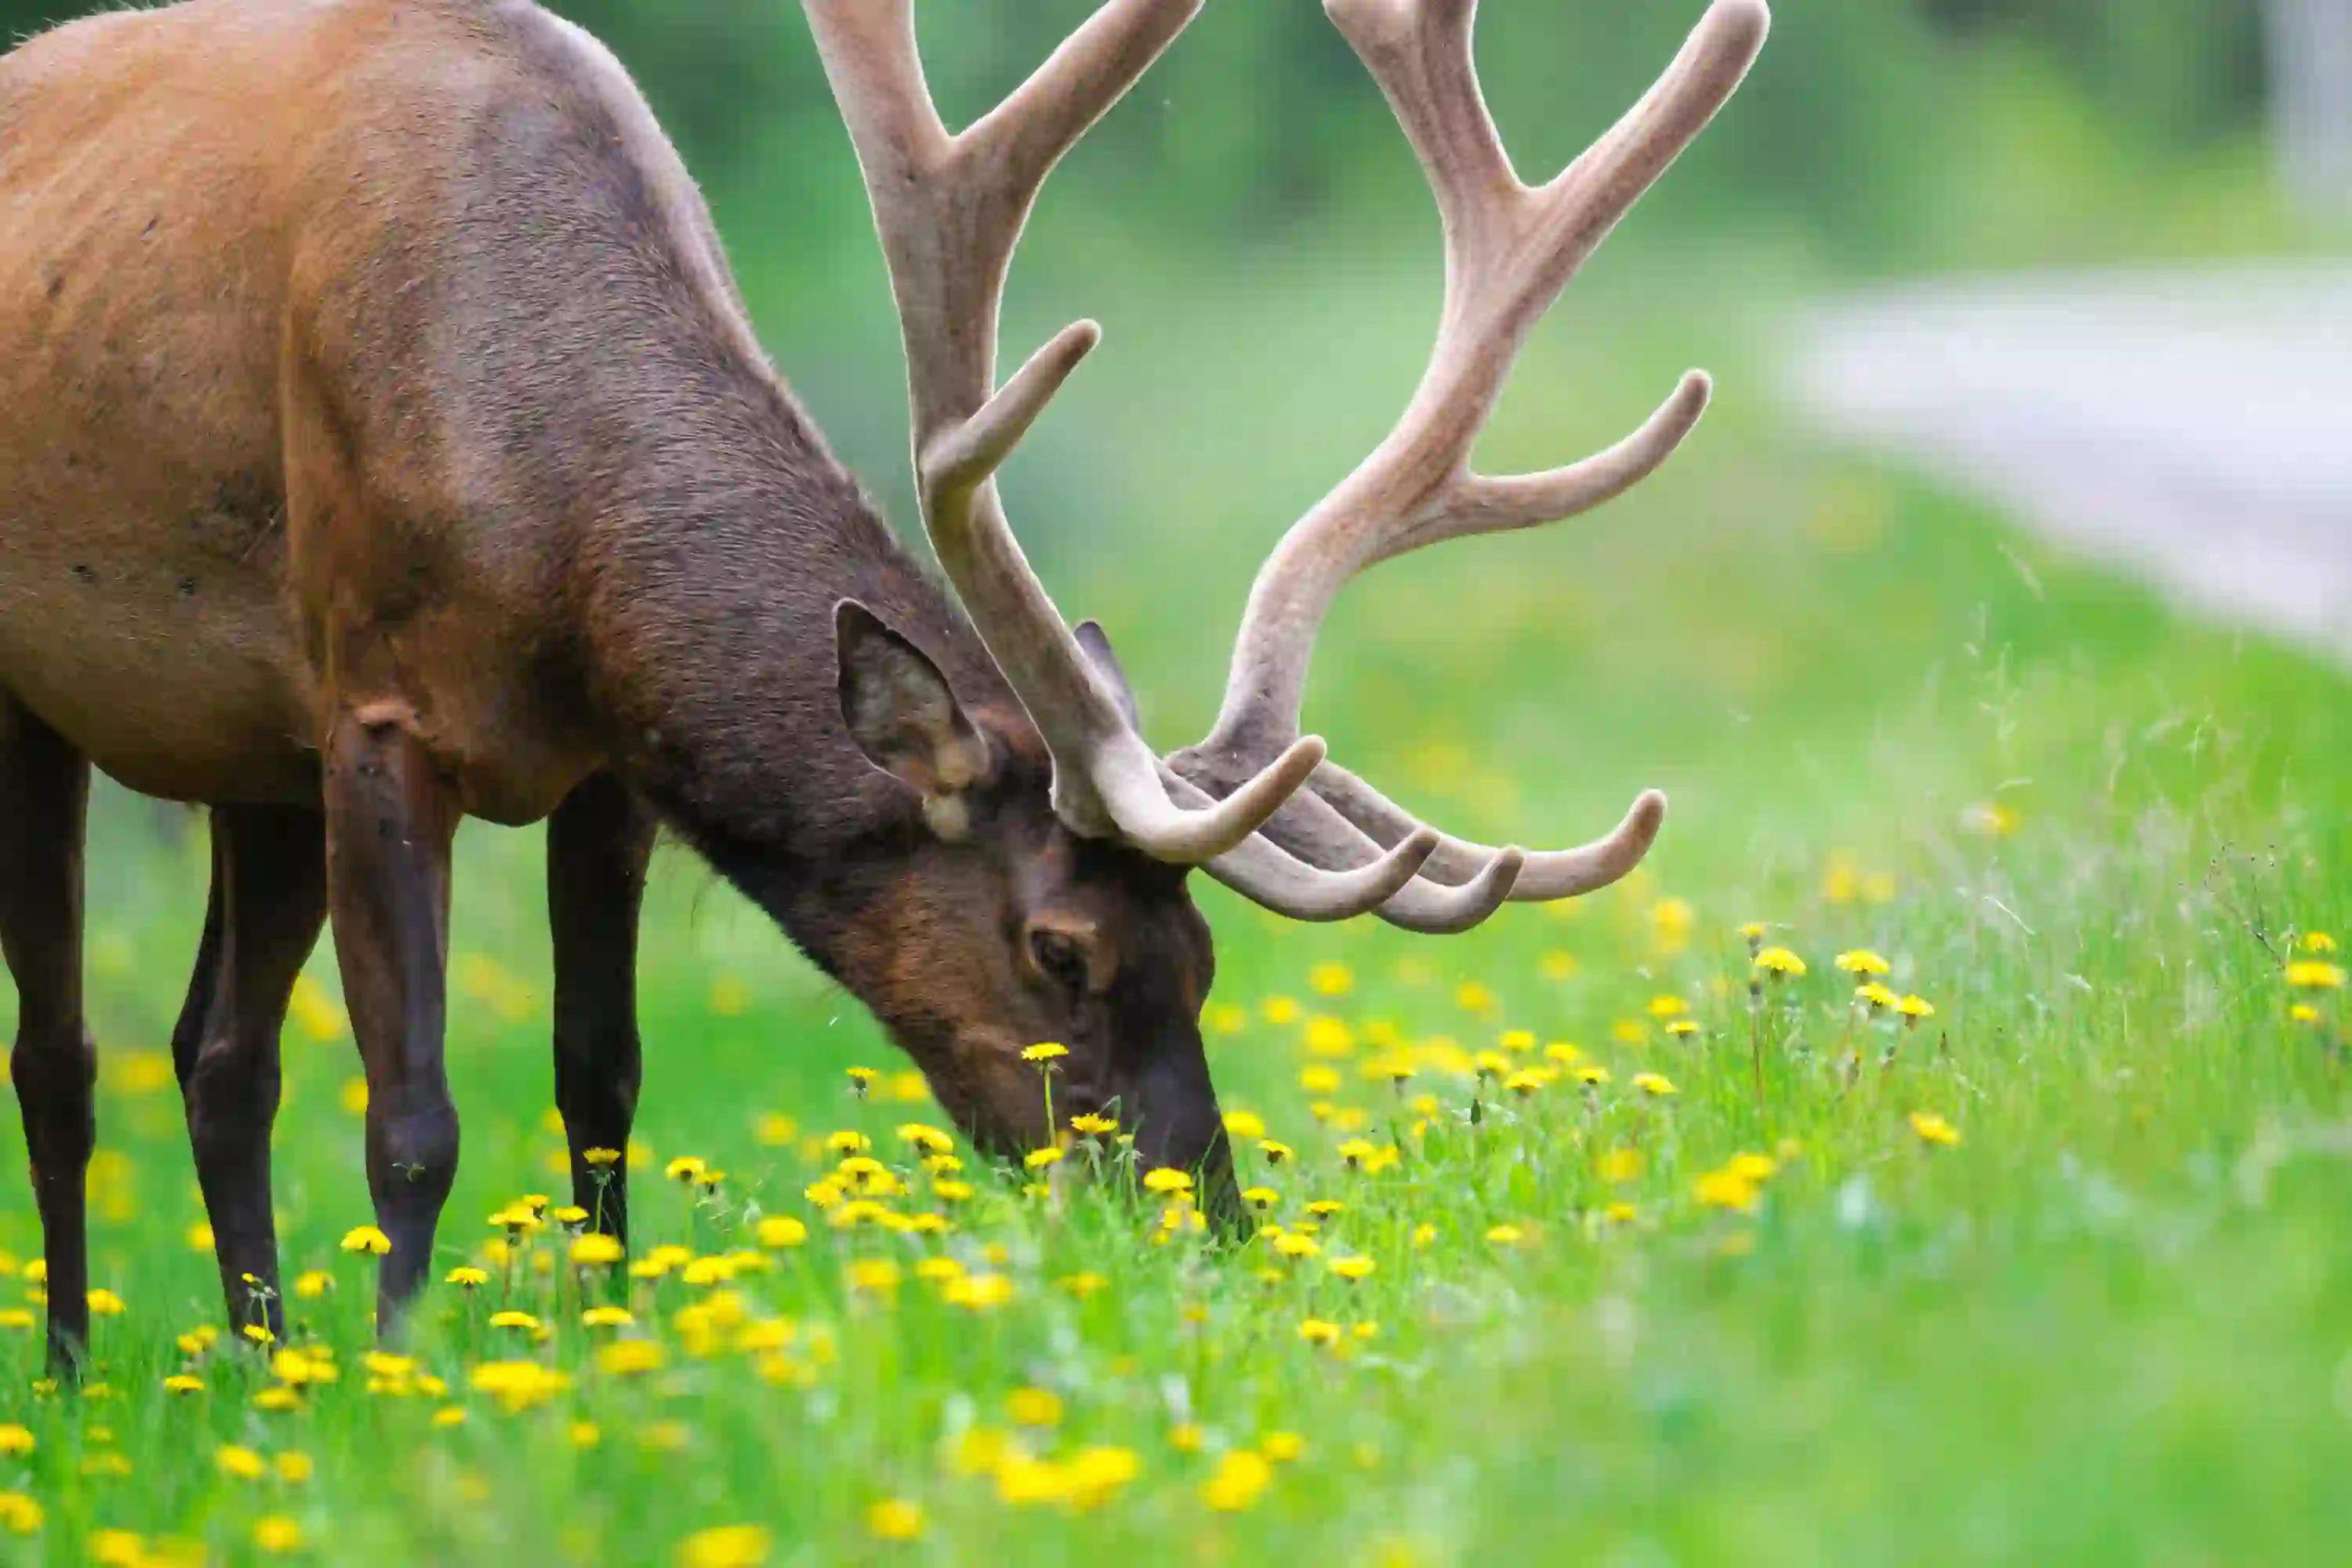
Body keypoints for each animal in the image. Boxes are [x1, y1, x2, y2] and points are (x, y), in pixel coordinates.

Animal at [0, 0, 1769, 1363]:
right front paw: (407, 1374)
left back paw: (259, 1369)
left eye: (1204, 955)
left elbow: (599, 1077)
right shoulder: (372, 712)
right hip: (55, 709)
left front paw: (598, 1344)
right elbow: (414, 1117)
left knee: (215, 1057)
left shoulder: (601, 764)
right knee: (68, 1056)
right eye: (1060, 951)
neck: (549, 512)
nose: (1202, 1231)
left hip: (248, 759)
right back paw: (88, 1377)